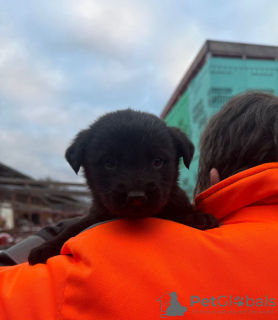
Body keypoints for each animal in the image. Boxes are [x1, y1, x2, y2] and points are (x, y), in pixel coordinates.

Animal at [28, 110, 219, 264]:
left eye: (157, 161)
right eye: (109, 162)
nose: (136, 196)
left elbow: (182, 208)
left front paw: (197, 216)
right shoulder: (96, 214)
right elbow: (74, 227)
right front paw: (47, 247)